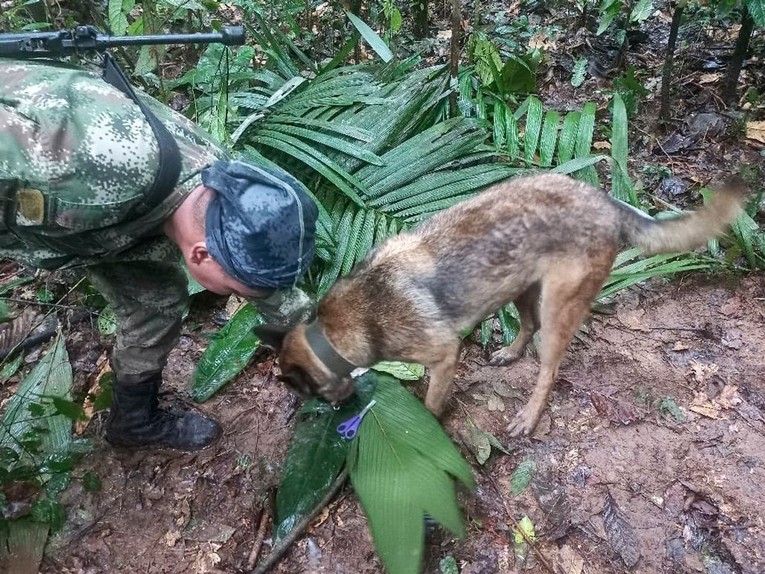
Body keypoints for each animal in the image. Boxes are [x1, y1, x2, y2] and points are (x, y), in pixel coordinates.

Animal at [254, 174, 744, 436]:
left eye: (306, 393)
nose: (338, 412)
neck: (333, 331)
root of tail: (606, 201)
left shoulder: (443, 356)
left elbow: (431, 403)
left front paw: (428, 427)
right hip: (520, 287)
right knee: (526, 327)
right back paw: (510, 353)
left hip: (557, 307)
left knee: (549, 368)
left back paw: (528, 415)